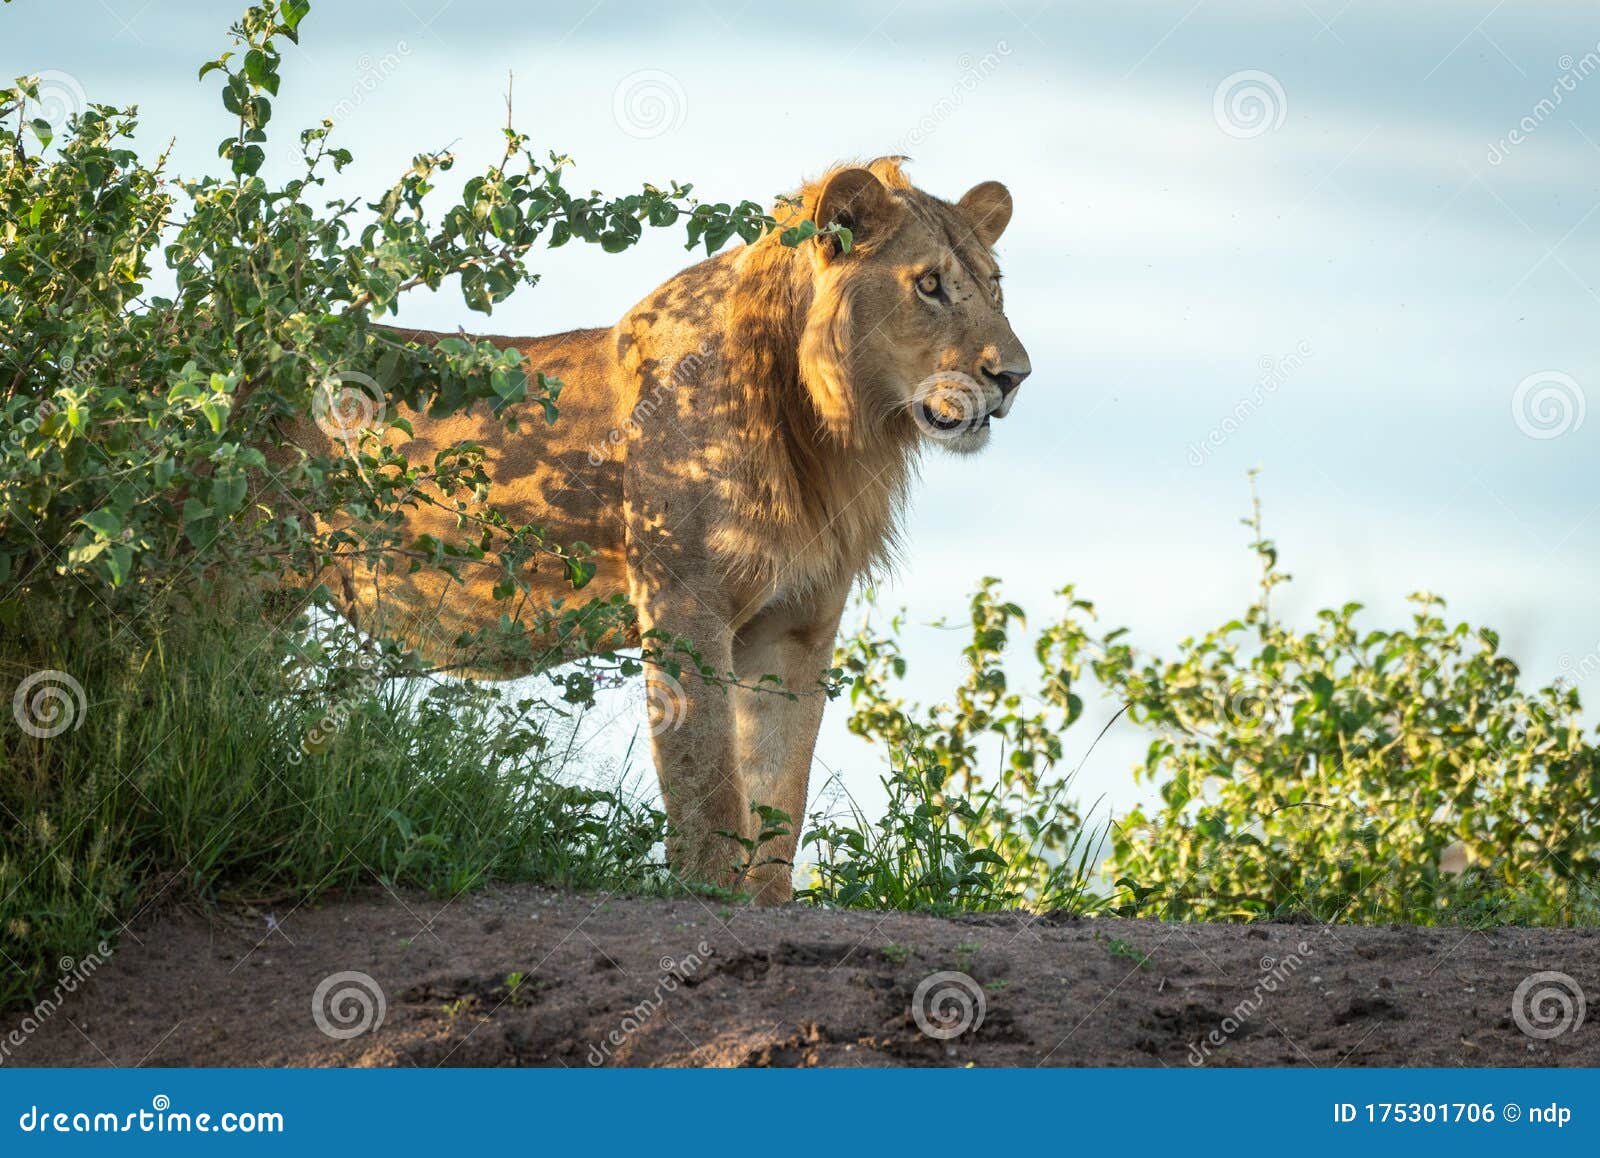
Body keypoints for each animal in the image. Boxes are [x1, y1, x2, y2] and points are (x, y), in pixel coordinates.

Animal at [297, 157, 1031, 902]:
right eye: (929, 284)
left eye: (994, 285)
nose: (1014, 377)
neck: (826, 434)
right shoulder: (685, 603)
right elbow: (707, 776)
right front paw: (710, 890)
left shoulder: (798, 624)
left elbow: (778, 788)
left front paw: (768, 901)